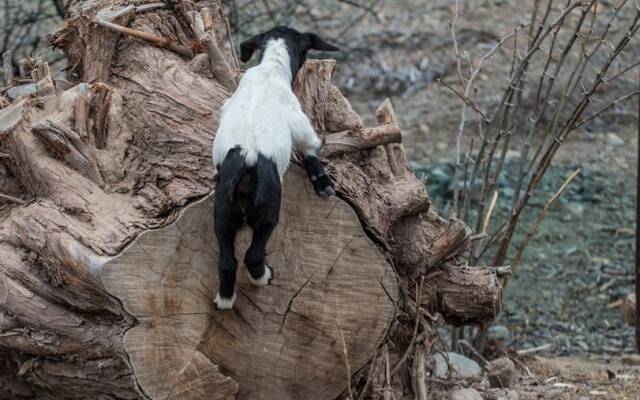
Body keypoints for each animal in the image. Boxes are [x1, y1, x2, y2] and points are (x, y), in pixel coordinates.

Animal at [211, 26, 340, 310]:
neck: (270, 68)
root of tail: (248, 159)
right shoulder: (300, 121)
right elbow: (311, 147)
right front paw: (322, 181)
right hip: (267, 214)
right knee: (252, 256)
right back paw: (264, 277)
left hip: (223, 214)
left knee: (227, 262)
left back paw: (224, 300)